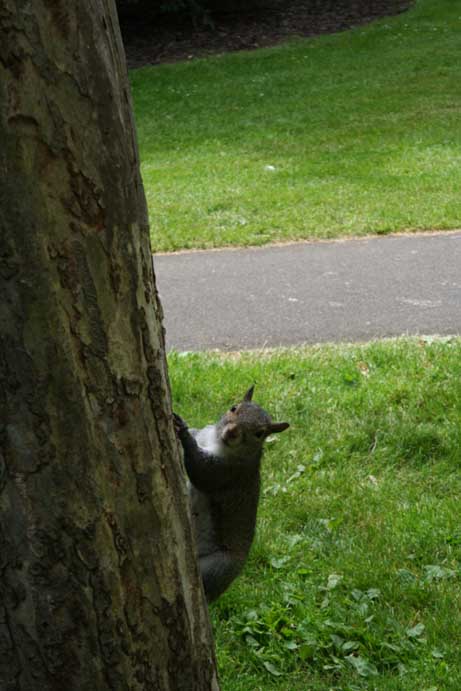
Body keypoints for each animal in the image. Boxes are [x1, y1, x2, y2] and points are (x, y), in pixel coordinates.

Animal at [173, 385, 289, 603]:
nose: (232, 431)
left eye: (259, 433)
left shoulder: (228, 472)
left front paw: (183, 431)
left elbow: (201, 472)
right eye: (233, 408)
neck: (215, 441)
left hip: (218, 566)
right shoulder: (203, 433)